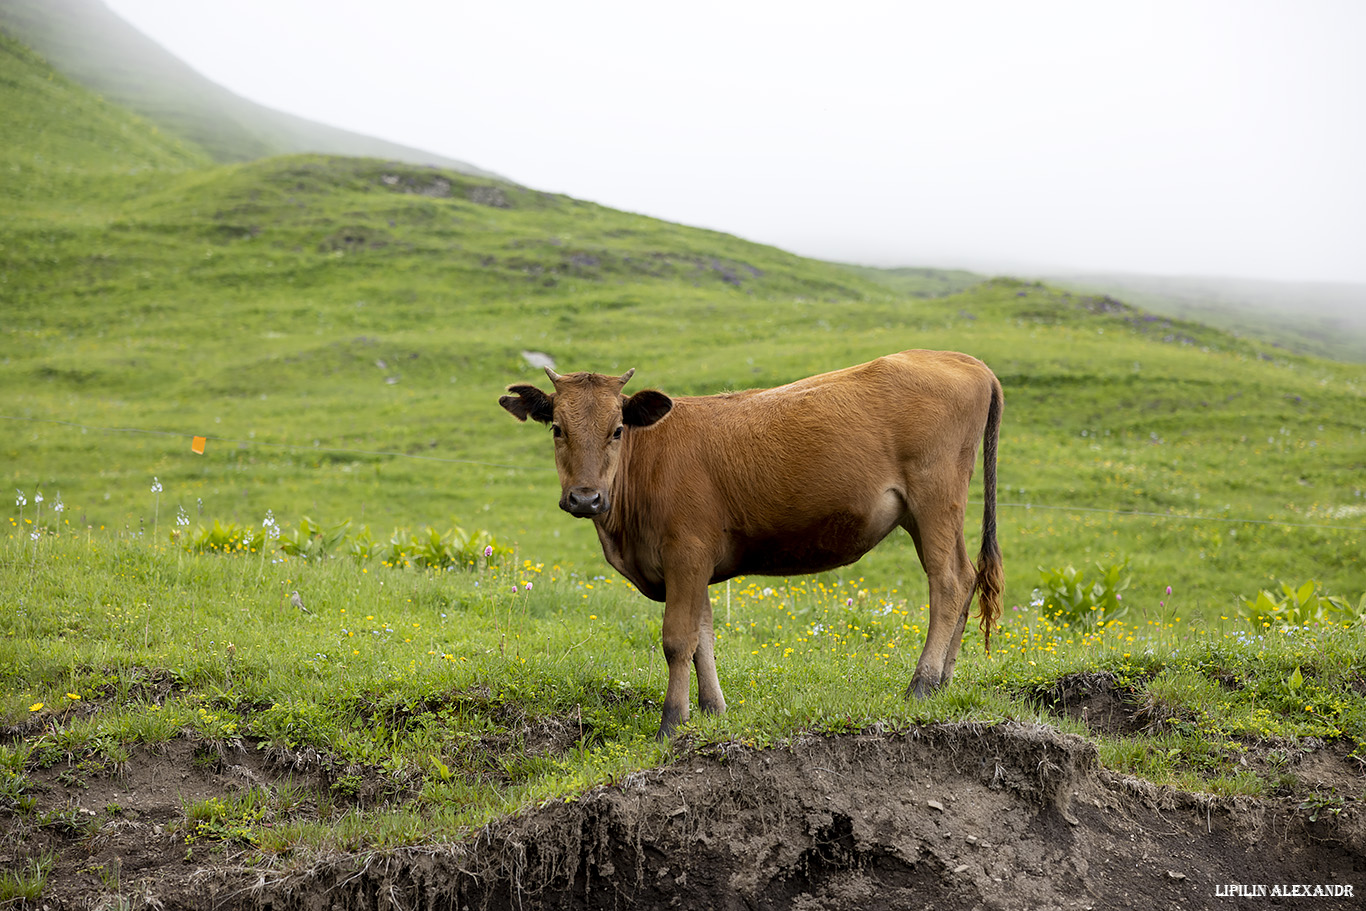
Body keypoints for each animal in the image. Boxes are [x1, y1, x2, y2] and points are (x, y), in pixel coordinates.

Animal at [502, 352, 1005, 743]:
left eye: (618, 430)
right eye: (558, 429)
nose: (585, 498)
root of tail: (966, 361)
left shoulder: (686, 553)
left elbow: (678, 640)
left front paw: (671, 723)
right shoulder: (695, 565)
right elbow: (703, 636)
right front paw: (713, 709)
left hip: (934, 498)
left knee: (947, 582)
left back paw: (921, 684)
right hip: (928, 514)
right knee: (965, 578)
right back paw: (943, 683)